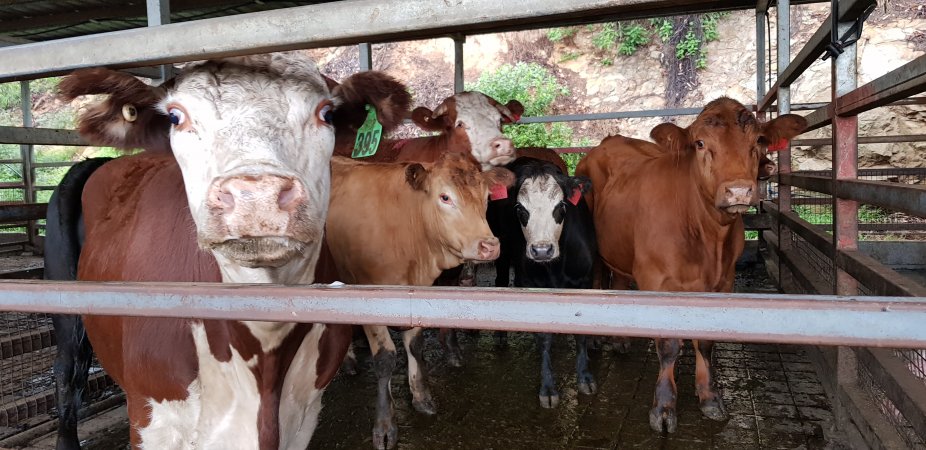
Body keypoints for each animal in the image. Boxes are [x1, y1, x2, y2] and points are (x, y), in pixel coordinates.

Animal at [47, 56, 410, 450]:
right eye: (176, 117)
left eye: (326, 113)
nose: (257, 196)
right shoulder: (152, 418)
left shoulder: (303, 415)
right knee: (67, 380)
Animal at [490, 157, 600, 408]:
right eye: (520, 209)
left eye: (561, 206)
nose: (541, 250)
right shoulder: (532, 284)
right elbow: (544, 338)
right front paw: (548, 388)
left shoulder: (585, 280)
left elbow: (581, 332)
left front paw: (585, 377)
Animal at [576, 97, 808, 432]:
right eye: (700, 143)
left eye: (758, 142)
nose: (739, 190)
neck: (706, 234)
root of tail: (608, 141)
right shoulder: (655, 281)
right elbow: (668, 345)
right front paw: (663, 407)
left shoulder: (724, 282)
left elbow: (707, 341)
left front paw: (709, 397)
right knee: (597, 281)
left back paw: (620, 341)